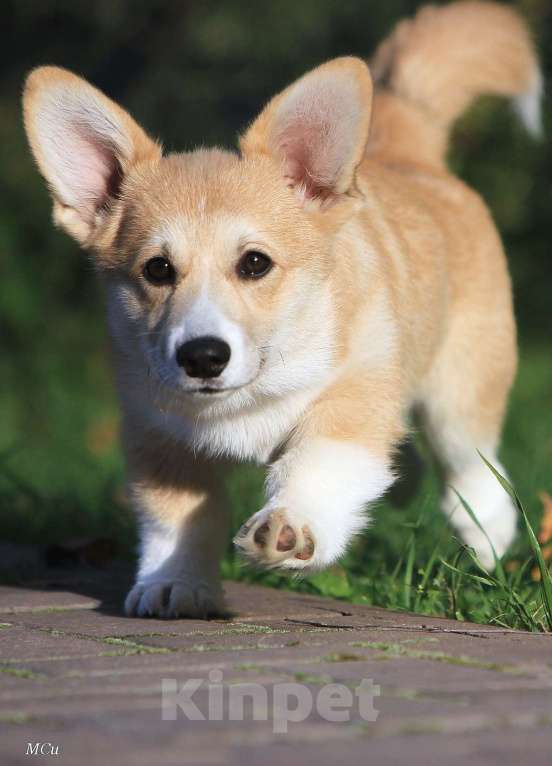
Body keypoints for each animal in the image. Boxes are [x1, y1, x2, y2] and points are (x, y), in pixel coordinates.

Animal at [21, 1, 540, 616]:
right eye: (157, 270)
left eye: (254, 264)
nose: (202, 357)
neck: (246, 399)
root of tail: (407, 151)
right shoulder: (159, 438)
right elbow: (177, 521)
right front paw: (175, 583)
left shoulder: (352, 400)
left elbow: (317, 467)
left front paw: (291, 528)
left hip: (459, 387)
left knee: (471, 463)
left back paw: (485, 536)